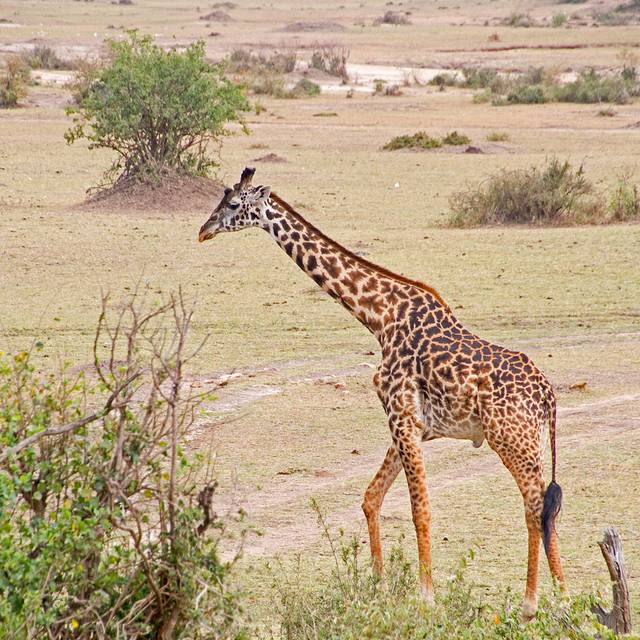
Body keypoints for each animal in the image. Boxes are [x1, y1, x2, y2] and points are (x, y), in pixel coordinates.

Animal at [198, 167, 566, 618]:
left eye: (233, 204)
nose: (203, 230)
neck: (378, 316)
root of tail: (548, 395)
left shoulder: (402, 417)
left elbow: (420, 509)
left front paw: (425, 596)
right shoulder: (410, 424)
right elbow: (371, 497)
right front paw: (375, 585)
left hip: (511, 439)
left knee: (535, 506)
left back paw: (534, 602)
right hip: (527, 440)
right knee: (546, 507)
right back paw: (563, 596)